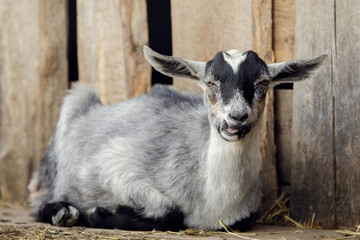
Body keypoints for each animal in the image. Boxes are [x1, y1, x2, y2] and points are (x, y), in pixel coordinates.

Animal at [28, 45, 326, 231]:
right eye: (210, 83)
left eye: (262, 83)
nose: (237, 117)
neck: (211, 201)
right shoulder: (115, 162)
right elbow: (170, 212)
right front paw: (98, 213)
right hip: (72, 108)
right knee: (37, 198)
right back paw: (63, 212)